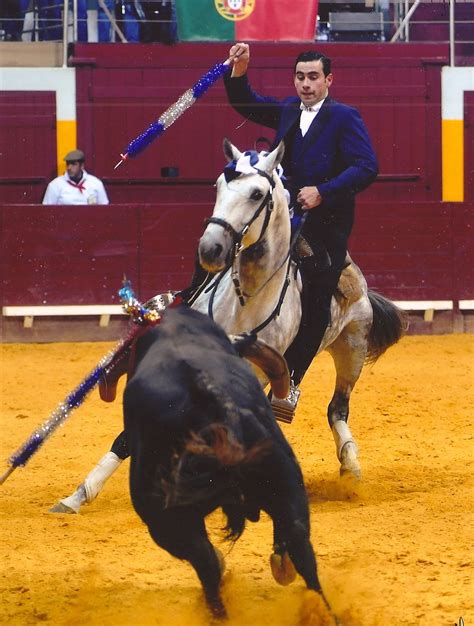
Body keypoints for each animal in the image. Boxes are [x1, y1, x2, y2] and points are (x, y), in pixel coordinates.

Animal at [51, 138, 408, 512]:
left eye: (256, 194)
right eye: (219, 187)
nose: (211, 248)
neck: (246, 300)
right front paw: (78, 495)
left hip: (352, 348)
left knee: (337, 408)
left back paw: (350, 470)